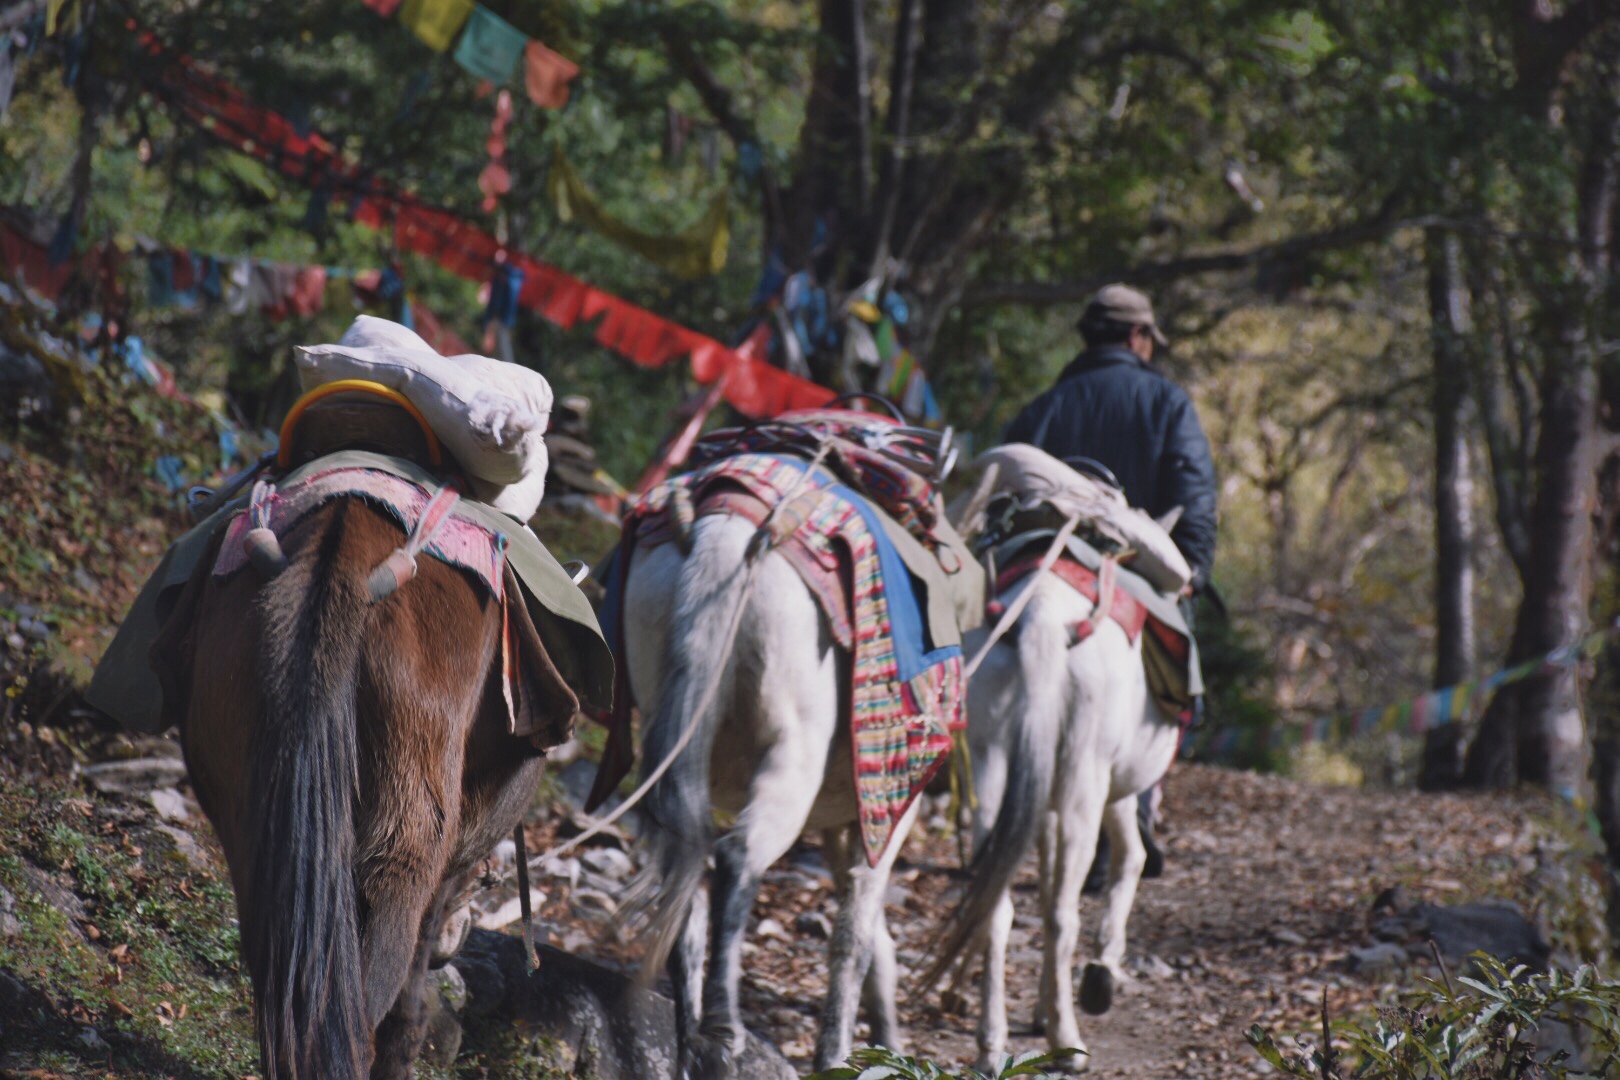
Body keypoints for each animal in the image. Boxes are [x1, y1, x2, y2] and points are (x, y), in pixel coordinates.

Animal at [622, 511, 920, 1075]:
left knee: (684, 868)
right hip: (792, 751)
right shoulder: (888, 810)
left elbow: (869, 931)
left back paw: (692, 1045)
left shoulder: (843, 821)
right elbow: (855, 935)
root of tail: (723, 537)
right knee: (737, 858)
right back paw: (721, 1033)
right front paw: (839, 1055)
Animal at [926, 569, 1179, 1068]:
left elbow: (1037, 890)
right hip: (1086, 781)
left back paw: (991, 1039)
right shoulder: (1111, 792)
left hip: (991, 766)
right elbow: (1127, 861)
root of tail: (1043, 620)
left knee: (997, 903)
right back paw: (1067, 1038)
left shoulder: (1040, 802)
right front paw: (1101, 968)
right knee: (1067, 910)